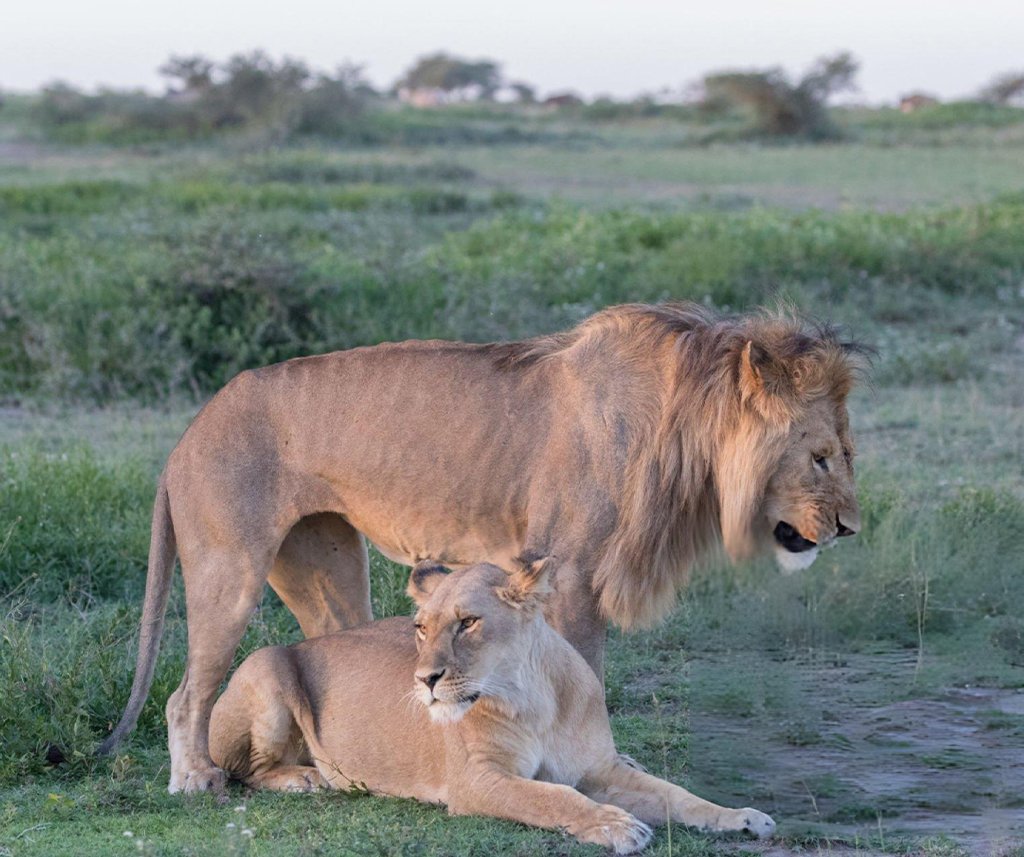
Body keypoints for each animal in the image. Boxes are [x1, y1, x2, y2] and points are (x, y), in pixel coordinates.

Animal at [99, 302, 865, 793]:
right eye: (821, 457)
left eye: (845, 452)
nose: (851, 528)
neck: (687, 430)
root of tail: (187, 433)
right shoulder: (572, 571)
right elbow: (585, 672)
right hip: (230, 572)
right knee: (184, 694)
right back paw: (196, 778)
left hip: (326, 566)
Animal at [209, 559, 776, 852]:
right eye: (421, 627)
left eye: (468, 622)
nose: (424, 679)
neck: (534, 697)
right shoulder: (478, 779)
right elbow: (554, 798)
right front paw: (618, 827)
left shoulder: (599, 768)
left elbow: (677, 795)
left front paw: (743, 817)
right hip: (265, 662)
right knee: (242, 769)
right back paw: (304, 778)